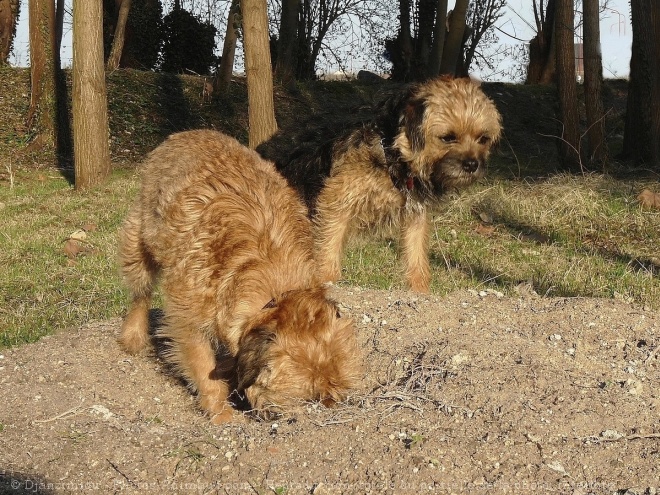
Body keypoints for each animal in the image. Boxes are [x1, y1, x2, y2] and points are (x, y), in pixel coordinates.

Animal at [118, 130, 360, 424]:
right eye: (307, 400)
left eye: (332, 395)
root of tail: (186, 133)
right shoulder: (188, 316)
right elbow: (202, 364)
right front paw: (220, 411)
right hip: (139, 241)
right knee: (140, 294)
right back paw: (133, 336)